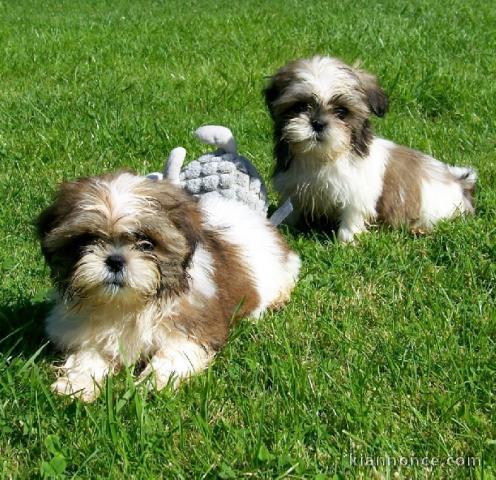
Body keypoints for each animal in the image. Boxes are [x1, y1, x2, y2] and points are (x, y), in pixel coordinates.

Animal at [36, 172, 300, 402]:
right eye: (87, 240)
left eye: (146, 243)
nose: (115, 260)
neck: (129, 304)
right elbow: (88, 356)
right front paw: (76, 385)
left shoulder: (193, 327)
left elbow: (172, 355)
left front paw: (153, 383)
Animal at [264, 55, 476, 242]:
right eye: (300, 107)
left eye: (341, 112)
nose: (317, 123)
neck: (323, 156)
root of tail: (459, 182)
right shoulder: (292, 186)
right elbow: (290, 210)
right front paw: (283, 229)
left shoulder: (357, 192)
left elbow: (352, 214)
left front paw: (347, 241)